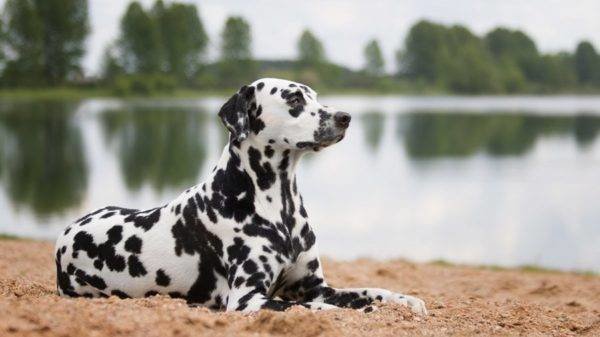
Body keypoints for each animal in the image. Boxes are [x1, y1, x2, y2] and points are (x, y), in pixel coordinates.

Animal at [52, 77, 426, 314]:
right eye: (294, 99)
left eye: (315, 96)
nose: (344, 117)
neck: (279, 209)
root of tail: (64, 234)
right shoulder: (248, 298)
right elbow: (311, 306)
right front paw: (361, 310)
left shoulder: (315, 285)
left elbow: (369, 290)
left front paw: (404, 300)